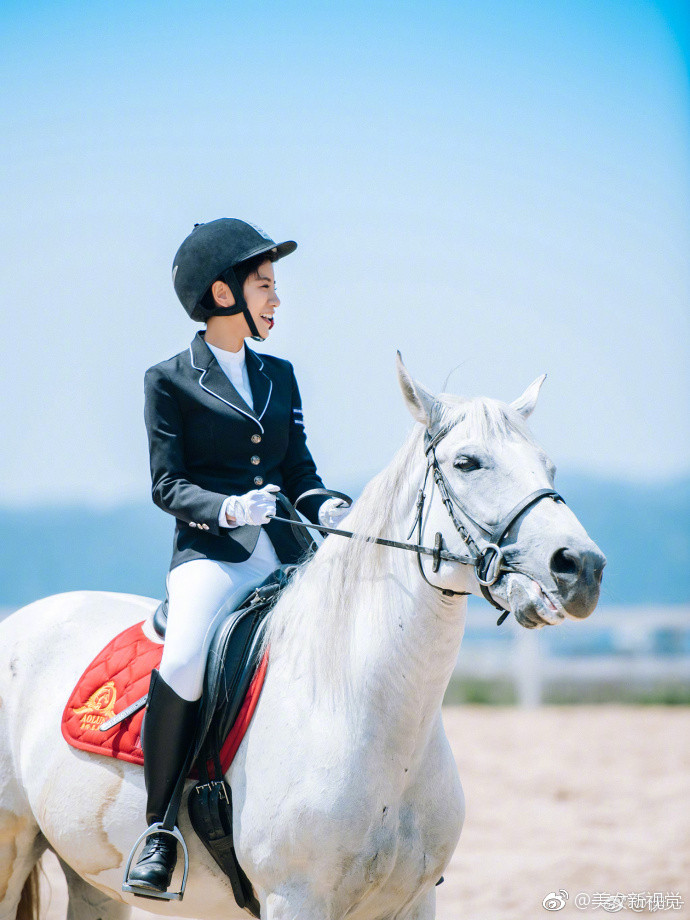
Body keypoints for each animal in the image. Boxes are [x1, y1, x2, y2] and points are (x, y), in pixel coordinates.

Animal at [0, 362, 600, 920]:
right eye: (467, 463)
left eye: (547, 465)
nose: (582, 568)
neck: (363, 712)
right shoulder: (295, 898)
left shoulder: (413, 899)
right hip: (13, 851)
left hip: (91, 879)